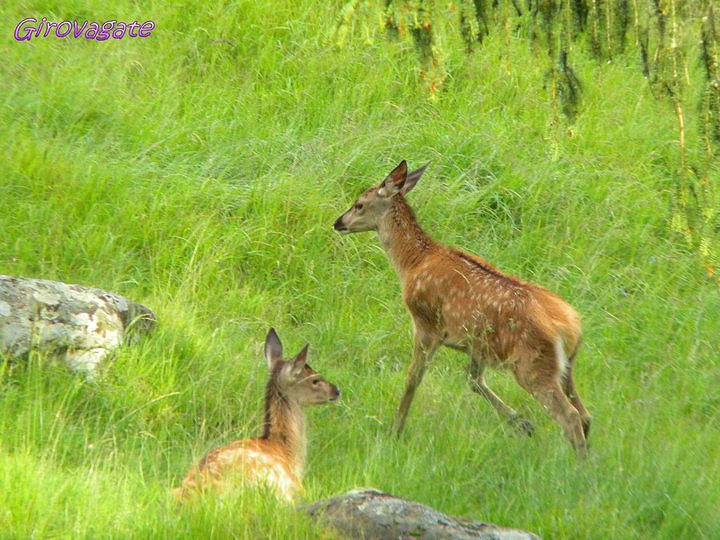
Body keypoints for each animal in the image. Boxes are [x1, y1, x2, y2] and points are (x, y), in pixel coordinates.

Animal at [332, 160, 592, 456]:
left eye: (359, 204)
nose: (338, 222)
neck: (413, 263)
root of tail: (570, 326)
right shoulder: (477, 345)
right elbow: (474, 380)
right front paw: (522, 423)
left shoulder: (426, 324)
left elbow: (413, 379)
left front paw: (395, 431)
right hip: (565, 366)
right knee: (585, 414)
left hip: (533, 366)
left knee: (570, 416)